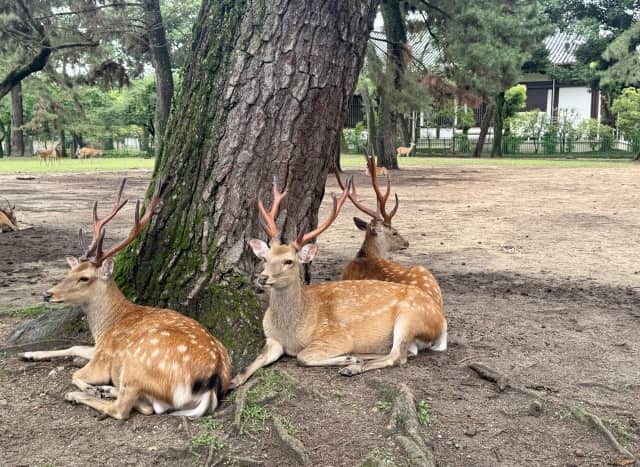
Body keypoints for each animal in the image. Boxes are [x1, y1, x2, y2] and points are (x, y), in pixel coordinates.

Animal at [20, 178, 232, 420]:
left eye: (84, 278)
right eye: (69, 272)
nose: (48, 294)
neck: (105, 326)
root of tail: (211, 383)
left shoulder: (103, 357)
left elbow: (77, 374)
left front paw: (90, 386)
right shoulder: (99, 348)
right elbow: (74, 346)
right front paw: (28, 353)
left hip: (136, 364)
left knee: (124, 409)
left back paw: (86, 393)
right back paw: (106, 389)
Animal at [229, 176, 447, 389]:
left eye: (289, 261)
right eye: (265, 258)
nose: (262, 278)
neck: (291, 331)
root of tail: (441, 321)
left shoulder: (336, 336)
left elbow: (302, 356)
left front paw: (346, 359)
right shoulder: (272, 339)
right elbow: (253, 362)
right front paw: (231, 382)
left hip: (409, 317)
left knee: (397, 356)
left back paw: (352, 366)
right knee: (405, 352)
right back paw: (357, 358)